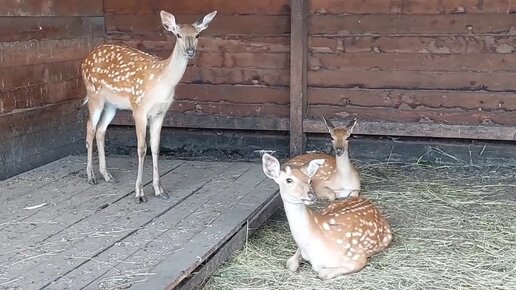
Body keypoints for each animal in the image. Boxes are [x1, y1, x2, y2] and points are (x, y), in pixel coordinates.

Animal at [81, 10, 218, 203]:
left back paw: (107, 175)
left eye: (197, 35)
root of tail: (85, 59)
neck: (161, 82)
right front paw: (139, 193)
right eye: (178, 34)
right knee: (90, 129)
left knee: (101, 130)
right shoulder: (139, 108)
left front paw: (159, 190)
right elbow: (141, 149)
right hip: (94, 95)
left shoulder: (160, 113)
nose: (190, 51)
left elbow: (155, 147)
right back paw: (91, 177)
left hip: (112, 104)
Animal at [262, 153, 392, 280]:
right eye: (288, 180)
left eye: (310, 180)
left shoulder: (357, 257)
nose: (311, 195)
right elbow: (291, 264)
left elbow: (322, 273)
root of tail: (369, 202)